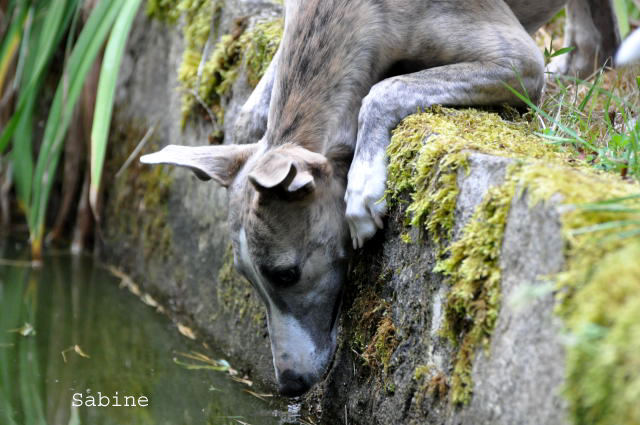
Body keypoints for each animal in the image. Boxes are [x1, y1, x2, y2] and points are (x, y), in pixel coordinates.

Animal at [141, 0, 620, 394]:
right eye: (246, 277)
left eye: (285, 274)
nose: (289, 385)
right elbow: (248, 114)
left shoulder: (518, 61)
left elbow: (383, 90)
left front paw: (363, 187)